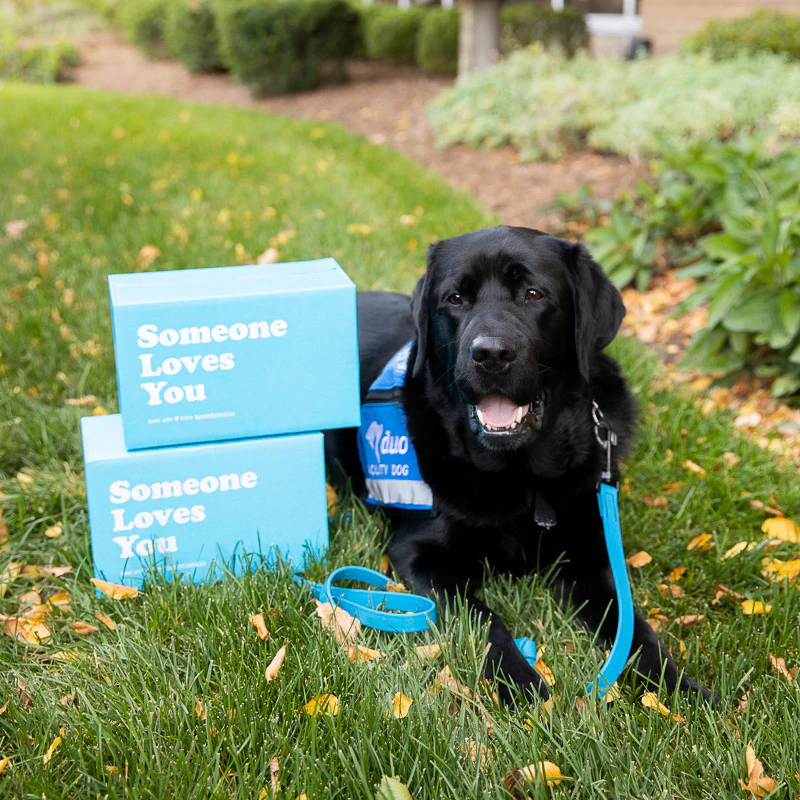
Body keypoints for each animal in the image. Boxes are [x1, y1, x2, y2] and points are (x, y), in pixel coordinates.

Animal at [322, 223, 708, 700]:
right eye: (455, 298)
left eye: (533, 294)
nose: (491, 353)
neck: (526, 479)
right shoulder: (418, 555)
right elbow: (485, 619)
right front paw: (522, 684)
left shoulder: (590, 554)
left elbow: (634, 629)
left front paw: (681, 690)